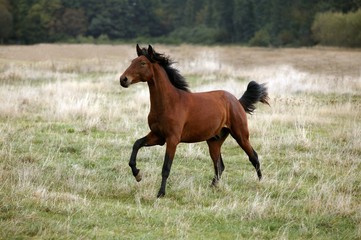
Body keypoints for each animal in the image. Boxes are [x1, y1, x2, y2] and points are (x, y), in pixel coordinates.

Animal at [119, 44, 268, 197]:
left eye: (142, 63)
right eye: (132, 61)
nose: (123, 80)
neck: (169, 103)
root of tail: (237, 101)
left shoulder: (172, 139)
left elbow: (166, 167)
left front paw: (161, 193)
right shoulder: (157, 136)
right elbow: (136, 144)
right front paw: (137, 174)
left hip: (241, 135)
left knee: (254, 157)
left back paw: (261, 183)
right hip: (214, 141)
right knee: (219, 165)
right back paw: (213, 186)